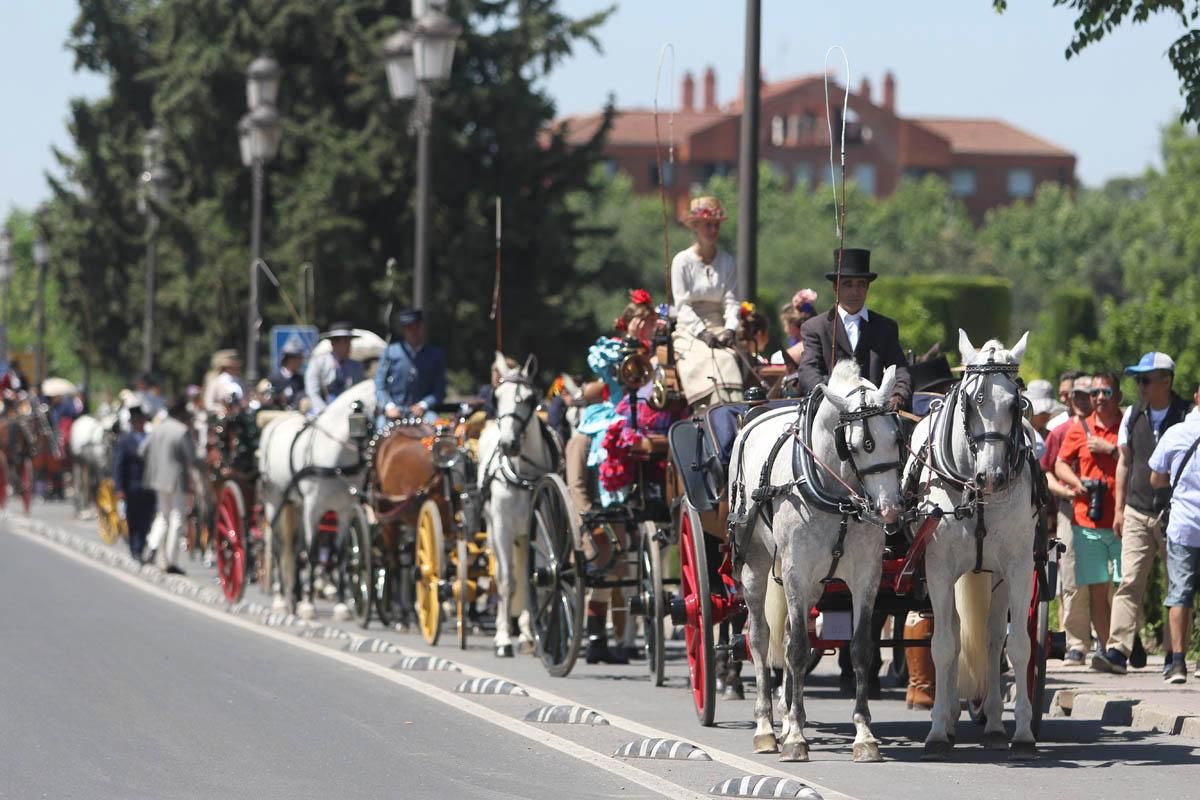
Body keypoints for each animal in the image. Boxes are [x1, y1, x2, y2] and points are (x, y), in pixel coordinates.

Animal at [260, 381, 376, 618]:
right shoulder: (313, 507)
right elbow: (312, 552)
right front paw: (309, 604)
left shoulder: (344, 509)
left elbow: (340, 554)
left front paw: (341, 605)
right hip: (274, 502)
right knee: (278, 546)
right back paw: (281, 599)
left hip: (297, 505)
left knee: (295, 548)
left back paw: (294, 596)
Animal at [475, 355, 554, 657]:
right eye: (496, 398)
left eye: (530, 399)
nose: (508, 444)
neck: (523, 475)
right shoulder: (502, 528)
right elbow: (507, 581)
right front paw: (503, 639)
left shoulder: (542, 530)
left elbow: (537, 579)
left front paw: (530, 635)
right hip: (497, 532)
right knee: (504, 575)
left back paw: (527, 633)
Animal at [729, 362, 902, 762]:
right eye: (859, 445)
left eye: (896, 436)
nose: (889, 510)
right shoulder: (796, 570)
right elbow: (794, 650)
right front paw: (795, 738)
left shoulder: (866, 575)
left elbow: (860, 648)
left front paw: (864, 735)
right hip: (755, 568)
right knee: (760, 638)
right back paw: (767, 727)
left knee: (789, 635)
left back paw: (788, 717)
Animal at [902, 328, 1036, 762]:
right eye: (971, 400)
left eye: (1015, 403)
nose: (992, 476)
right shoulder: (938, 570)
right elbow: (943, 645)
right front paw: (936, 732)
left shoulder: (1019, 568)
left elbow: (1019, 646)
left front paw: (1023, 732)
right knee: (957, 633)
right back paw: (947, 719)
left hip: (994, 576)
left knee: (992, 640)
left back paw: (993, 722)